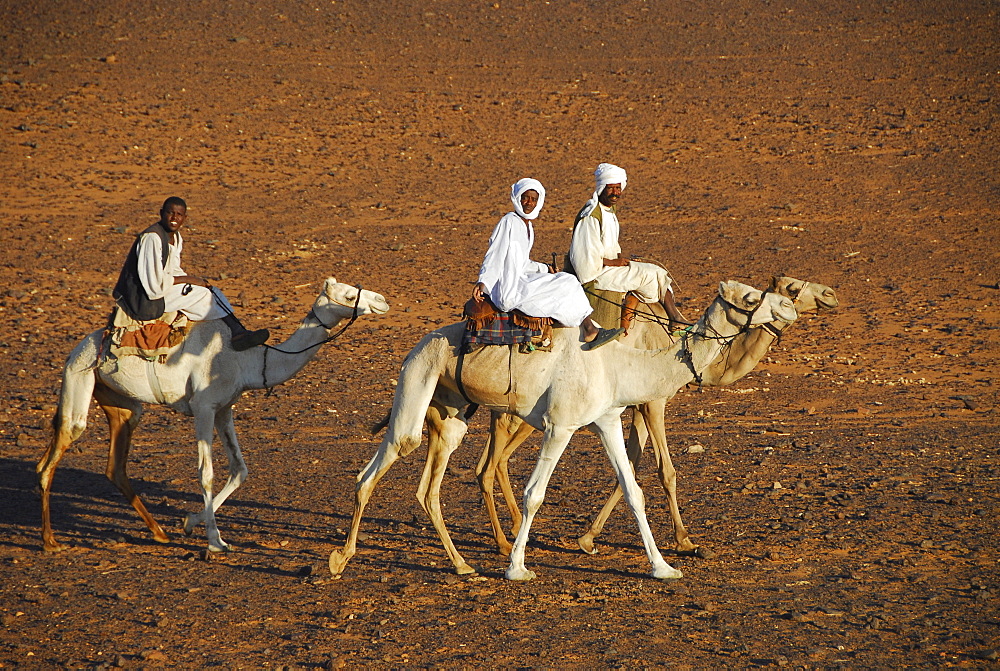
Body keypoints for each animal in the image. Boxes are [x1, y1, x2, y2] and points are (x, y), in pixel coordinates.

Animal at [39, 278, 390, 556]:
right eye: (348, 296)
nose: (382, 300)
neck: (246, 359)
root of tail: (80, 346)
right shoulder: (204, 407)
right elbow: (205, 473)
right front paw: (215, 540)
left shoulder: (225, 408)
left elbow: (240, 469)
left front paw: (189, 522)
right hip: (79, 377)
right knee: (54, 455)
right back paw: (50, 541)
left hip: (123, 405)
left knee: (115, 466)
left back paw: (159, 533)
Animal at [328, 280, 796, 580]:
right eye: (750, 296)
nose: (789, 307)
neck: (620, 360)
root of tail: (415, 347)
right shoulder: (560, 425)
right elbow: (535, 494)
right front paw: (517, 568)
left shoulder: (607, 418)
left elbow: (633, 490)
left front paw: (663, 567)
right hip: (415, 382)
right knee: (374, 469)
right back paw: (340, 559)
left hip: (451, 415)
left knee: (428, 488)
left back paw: (462, 564)